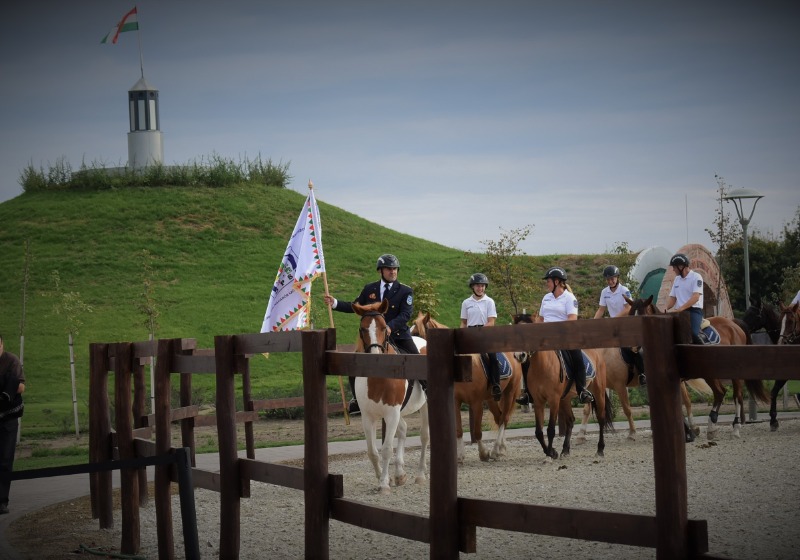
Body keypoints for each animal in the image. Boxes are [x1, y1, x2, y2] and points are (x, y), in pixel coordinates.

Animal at [350, 302, 428, 494]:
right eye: (362, 329)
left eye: (384, 327)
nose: (375, 358)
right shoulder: (368, 416)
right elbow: (372, 451)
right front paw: (385, 478)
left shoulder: (392, 414)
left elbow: (386, 449)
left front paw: (384, 483)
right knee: (403, 429)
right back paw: (400, 474)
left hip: (424, 406)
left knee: (424, 436)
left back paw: (420, 475)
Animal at [410, 310, 520, 464]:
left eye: (417, 333)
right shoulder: (456, 402)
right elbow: (459, 430)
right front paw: (460, 456)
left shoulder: (476, 403)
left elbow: (477, 431)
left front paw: (483, 453)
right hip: (492, 399)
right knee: (499, 418)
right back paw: (500, 449)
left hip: (510, 393)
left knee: (504, 419)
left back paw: (495, 450)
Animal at [624, 296, 768, 440]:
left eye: (641, 318)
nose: (632, 346)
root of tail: (733, 324)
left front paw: (688, 432)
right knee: (720, 393)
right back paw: (712, 427)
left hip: (732, 371)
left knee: (736, 395)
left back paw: (735, 428)